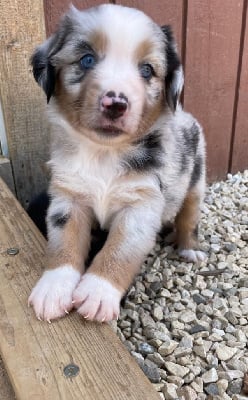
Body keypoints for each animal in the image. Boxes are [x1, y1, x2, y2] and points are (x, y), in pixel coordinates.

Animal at [28, 3, 205, 322]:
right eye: (86, 59)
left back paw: (189, 249)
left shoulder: (142, 205)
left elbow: (118, 251)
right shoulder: (68, 197)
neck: (104, 154)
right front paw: (53, 287)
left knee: (189, 219)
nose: (116, 103)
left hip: (196, 183)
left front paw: (98, 292)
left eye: (147, 70)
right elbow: (63, 242)